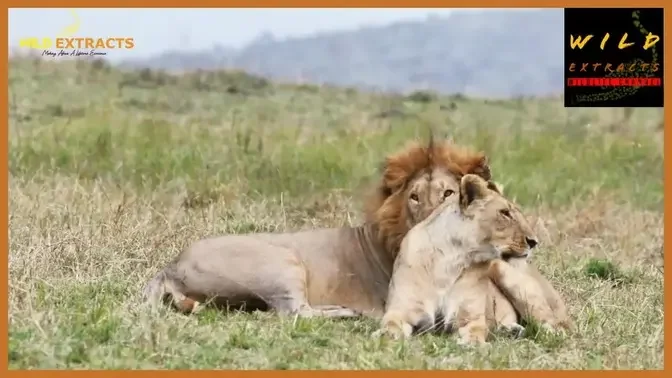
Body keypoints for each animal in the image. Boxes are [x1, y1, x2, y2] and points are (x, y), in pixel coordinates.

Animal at [142, 137, 490, 318]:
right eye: (414, 197)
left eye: (448, 193)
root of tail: (171, 266)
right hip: (282, 261)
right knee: (295, 312)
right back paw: (347, 312)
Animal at [378, 173, 540, 344]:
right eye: (505, 213)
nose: (534, 242)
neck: (451, 259)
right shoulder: (401, 310)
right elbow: (391, 324)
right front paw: (385, 336)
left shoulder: (470, 318)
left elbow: (476, 331)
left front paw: (472, 343)